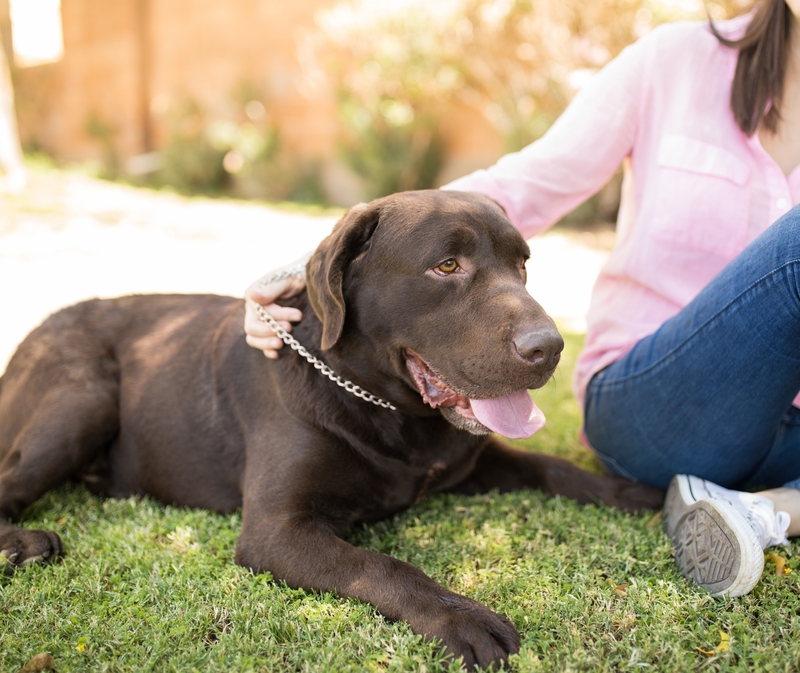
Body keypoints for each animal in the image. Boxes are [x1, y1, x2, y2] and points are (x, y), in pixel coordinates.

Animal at [0, 189, 664, 668]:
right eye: (447, 265)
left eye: (522, 264)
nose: (548, 347)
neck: (393, 415)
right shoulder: (277, 529)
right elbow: (382, 566)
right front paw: (462, 616)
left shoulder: (472, 458)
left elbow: (553, 466)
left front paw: (634, 491)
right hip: (82, 399)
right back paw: (23, 544)